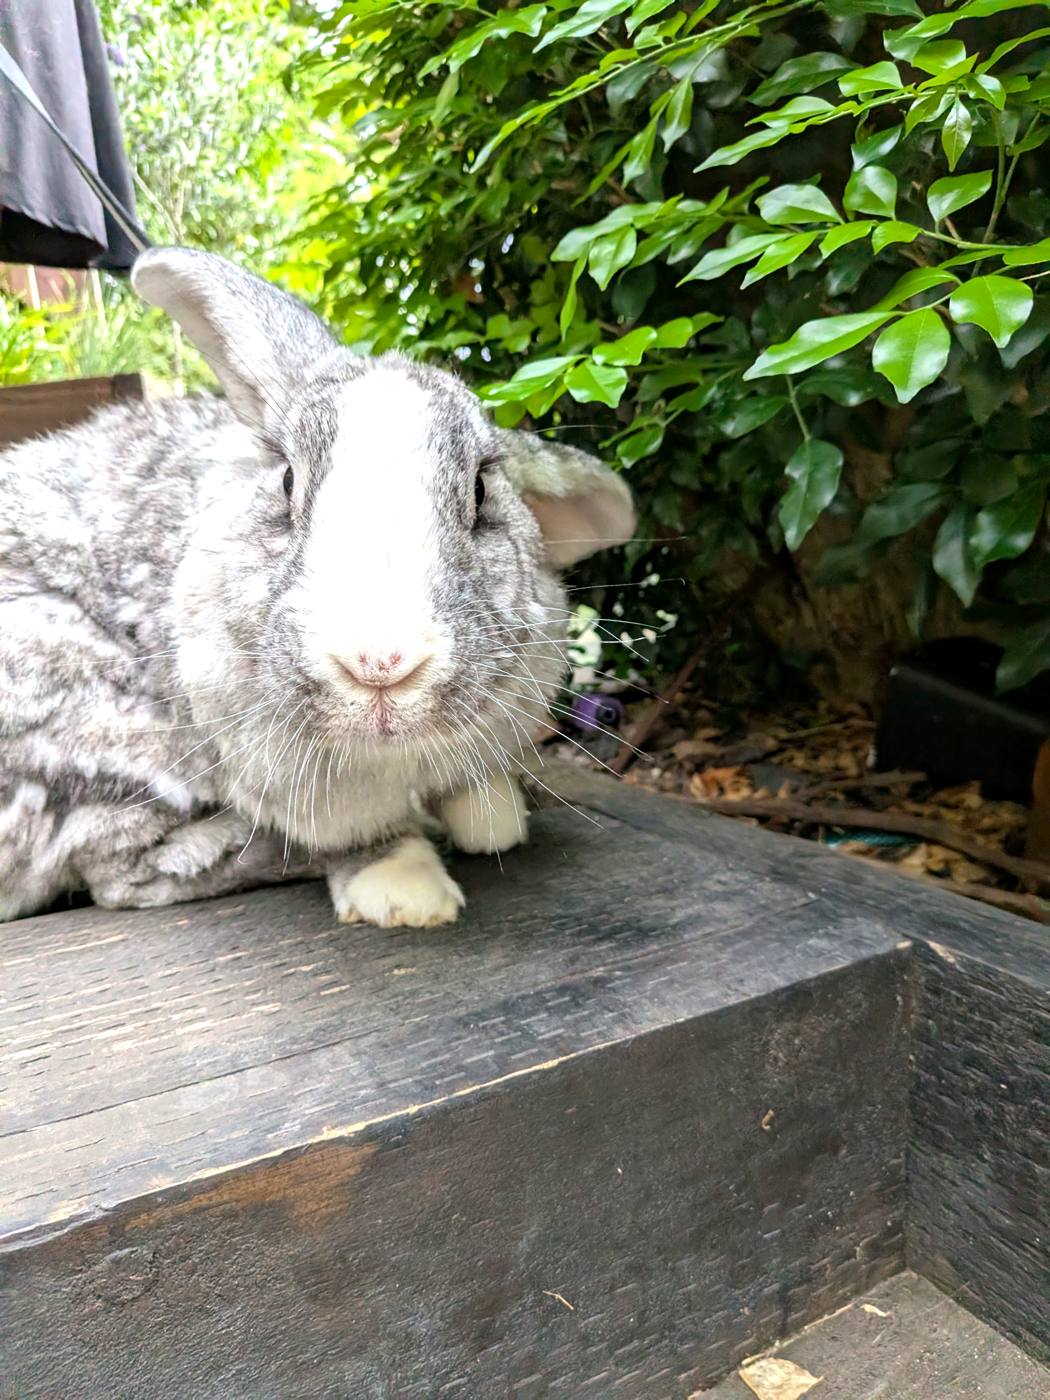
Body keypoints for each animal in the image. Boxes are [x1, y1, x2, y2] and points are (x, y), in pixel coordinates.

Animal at [0, 247, 634, 927]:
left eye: (482, 490)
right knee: (134, 871)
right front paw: (408, 892)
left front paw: (492, 814)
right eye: (286, 482)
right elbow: (345, 834)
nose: (380, 662)